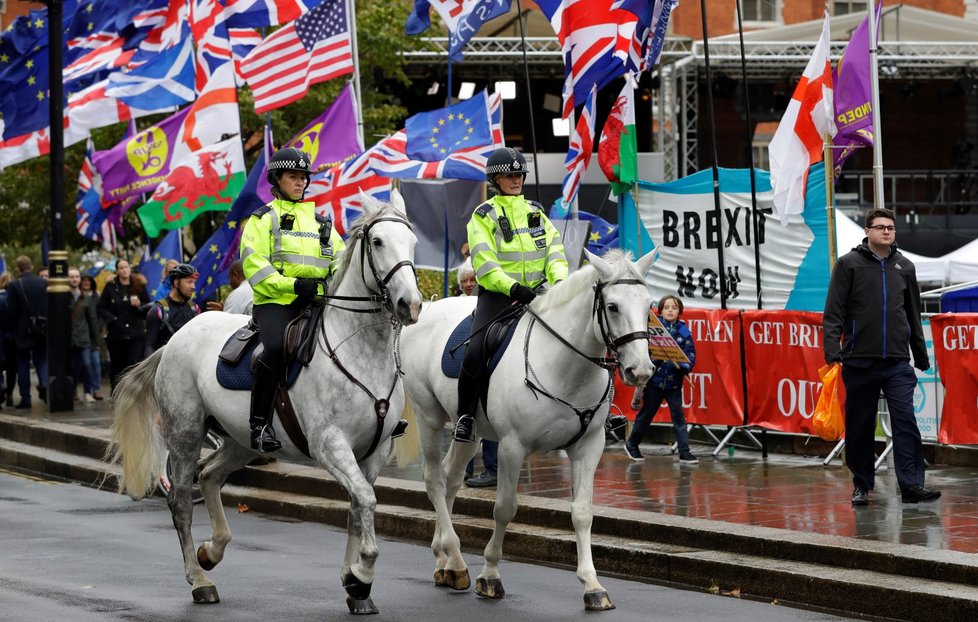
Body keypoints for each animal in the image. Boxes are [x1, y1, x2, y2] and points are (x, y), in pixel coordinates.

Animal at [106, 193, 420, 616]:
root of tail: (174, 339)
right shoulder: (330, 445)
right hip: (184, 433)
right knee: (181, 501)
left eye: (413, 242)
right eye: (378, 241)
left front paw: (355, 585)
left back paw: (212, 551)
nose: (410, 304)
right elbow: (366, 501)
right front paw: (362, 573)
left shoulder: (375, 451)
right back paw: (200, 580)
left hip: (241, 440)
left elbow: (359, 507)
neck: (359, 352)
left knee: (211, 475)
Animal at [396, 250, 656, 616]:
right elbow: (505, 508)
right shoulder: (511, 447)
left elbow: (583, 513)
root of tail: (428, 308)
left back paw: (444, 561)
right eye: (613, 306)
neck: (565, 366)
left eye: (649, 305)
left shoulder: (589, 448)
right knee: (433, 479)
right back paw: (457, 560)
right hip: (429, 416)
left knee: (450, 478)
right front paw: (490, 574)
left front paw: (592, 585)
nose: (641, 371)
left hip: (469, 430)